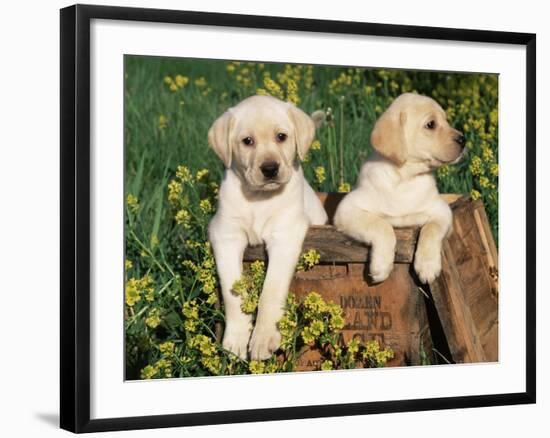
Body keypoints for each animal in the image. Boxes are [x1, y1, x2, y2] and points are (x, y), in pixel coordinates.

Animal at [207, 95, 328, 360]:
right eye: (247, 141)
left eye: (281, 136)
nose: (270, 169)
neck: (258, 198)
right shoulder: (225, 236)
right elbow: (233, 294)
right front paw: (236, 339)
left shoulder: (285, 235)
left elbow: (271, 291)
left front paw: (263, 339)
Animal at [334, 92, 468, 284]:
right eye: (431, 124)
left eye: (446, 120)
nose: (463, 139)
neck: (404, 178)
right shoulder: (347, 210)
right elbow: (382, 226)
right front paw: (381, 266)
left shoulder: (442, 212)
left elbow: (431, 229)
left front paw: (427, 266)